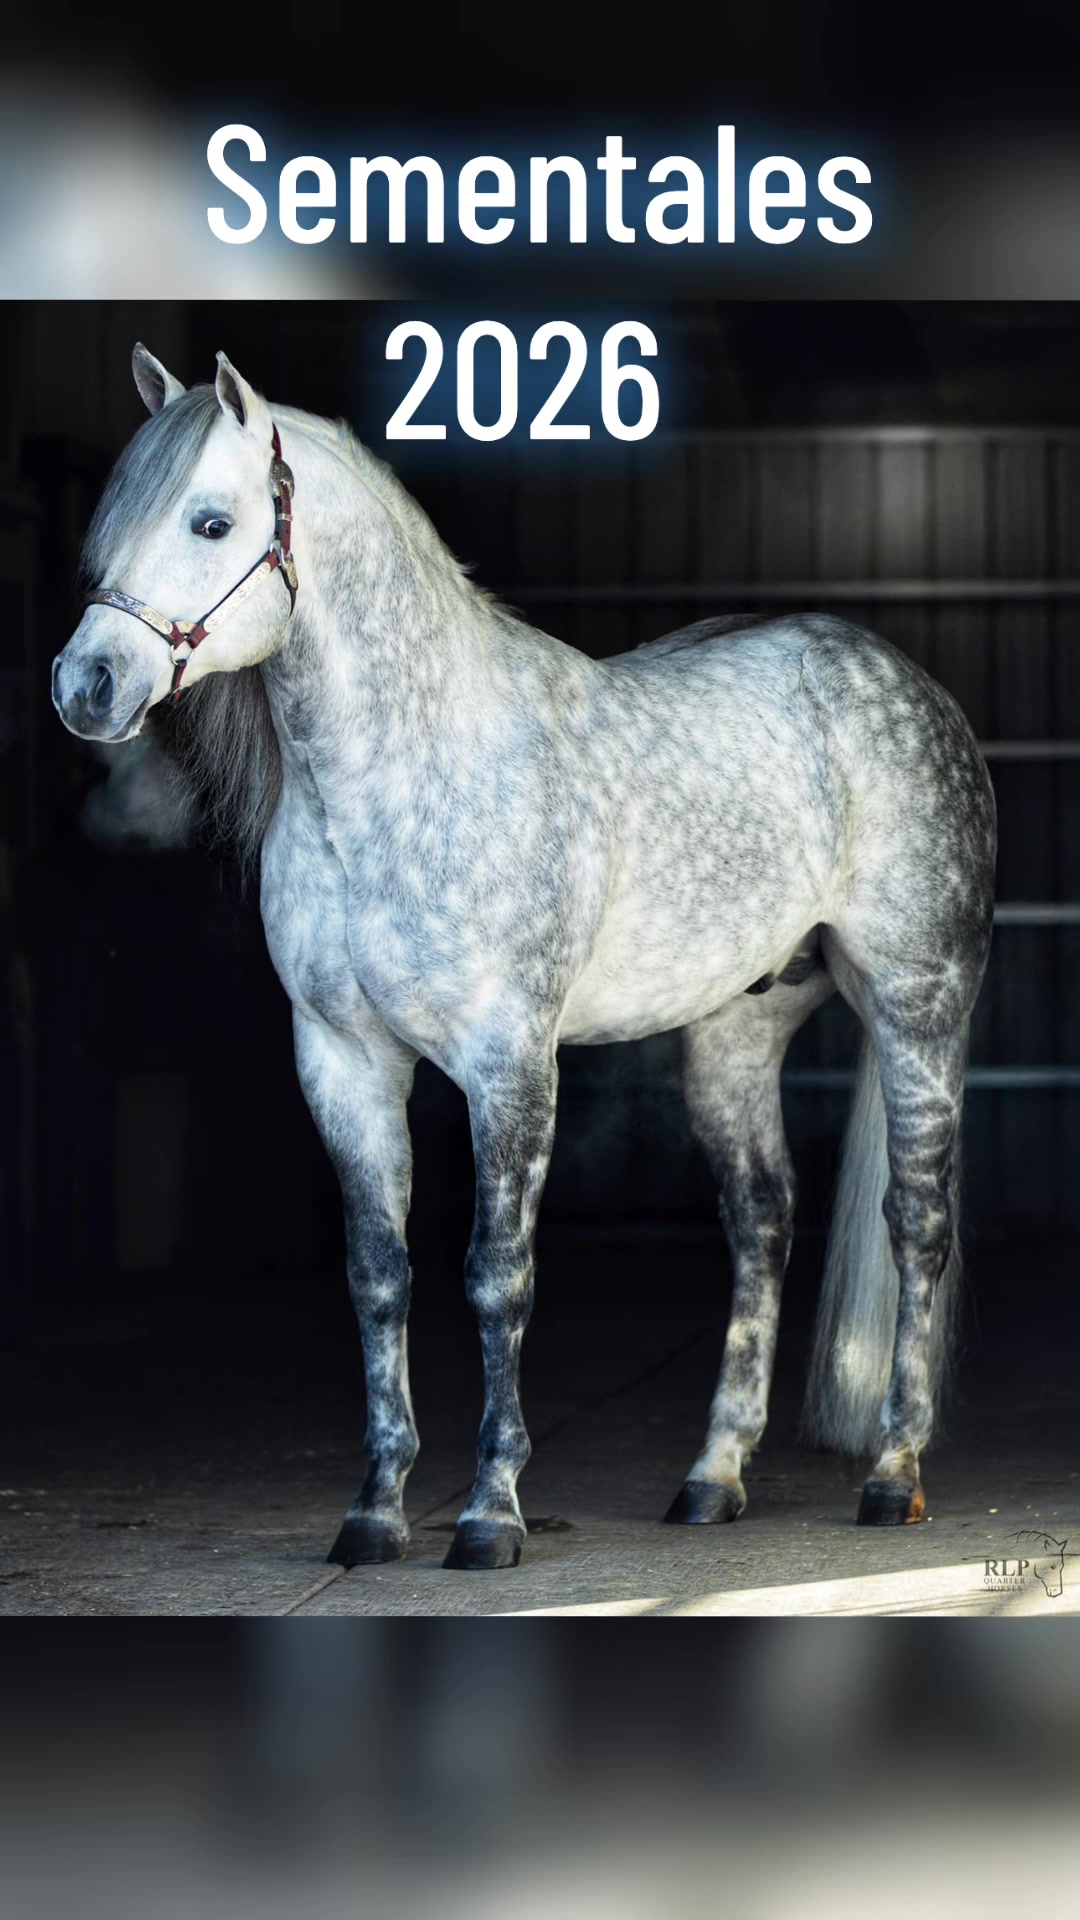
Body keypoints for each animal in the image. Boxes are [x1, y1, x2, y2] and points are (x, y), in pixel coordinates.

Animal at [52, 345, 997, 1572]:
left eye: (211, 521)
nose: (86, 686)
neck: (400, 777)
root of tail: (899, 679)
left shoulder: (509, 1065)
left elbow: (497, 1278)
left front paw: (489, 1512)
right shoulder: (342, 1063)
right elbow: (379, 1277)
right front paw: (374, 1511)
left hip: (919, 1004)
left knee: (917, 1220)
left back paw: (892, 1471)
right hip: (736, 1031)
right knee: (761, 1224)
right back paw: (713, 1476)